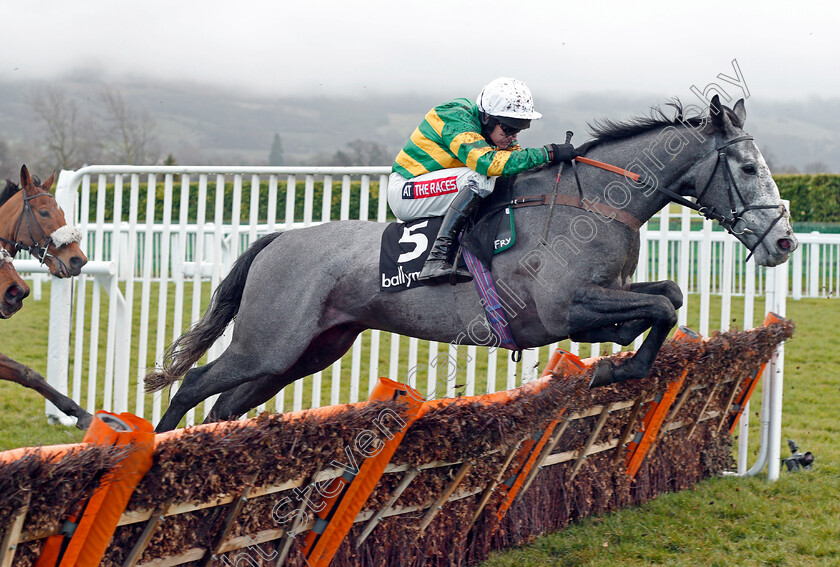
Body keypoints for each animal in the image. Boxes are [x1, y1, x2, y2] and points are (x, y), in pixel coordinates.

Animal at [148, 97, 796, 432]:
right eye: (746, 168)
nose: (784, 241)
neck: (594, 203)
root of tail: (279, 239)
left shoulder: (604, 293)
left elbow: (669, 298)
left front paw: (617, 354)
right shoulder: (562, 308)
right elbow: (661, 307)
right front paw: (615, 368)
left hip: (307, 351)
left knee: (225, 405)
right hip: (269, 342)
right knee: (195, 384)